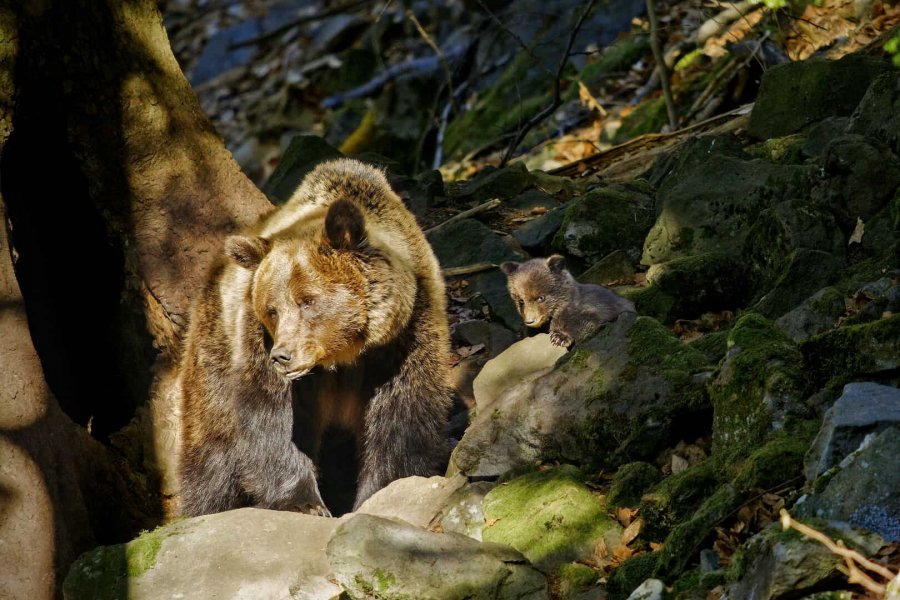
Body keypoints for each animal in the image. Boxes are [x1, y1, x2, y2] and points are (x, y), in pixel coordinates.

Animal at [178, 158, 453, 517]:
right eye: (271, 309)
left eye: (307, 300)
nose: (283, 355)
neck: (344, 356)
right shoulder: (258, 346)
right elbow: (274, 419)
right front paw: (303, 502)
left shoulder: (407, 336)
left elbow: (403, 414)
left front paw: (382, 492)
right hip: (215, 350)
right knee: (211, 452)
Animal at [500, 255, 635, 348]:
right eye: (521, 300)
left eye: (541, 297)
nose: (530, 321)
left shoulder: (592, 308)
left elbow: (587, 320)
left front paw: (560, 337)